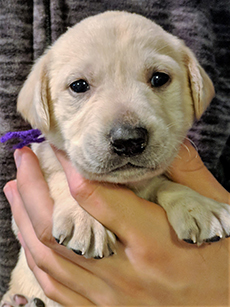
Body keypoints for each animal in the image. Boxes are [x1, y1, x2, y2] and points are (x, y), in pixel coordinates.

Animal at [1, 10, 230, 307]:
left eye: (159, 78)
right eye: (78, 85)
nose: (129, 140)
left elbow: (165, 184)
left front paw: (197, 205)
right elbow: (59, 175)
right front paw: (85, 218)